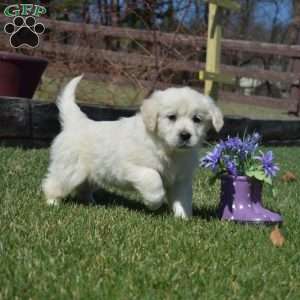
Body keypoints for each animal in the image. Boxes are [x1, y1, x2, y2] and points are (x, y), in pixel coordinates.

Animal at [42, 75, 223, 218]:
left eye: (197, 119)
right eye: (172, 117)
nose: (185, 135)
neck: (168, 150)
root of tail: (76, 122)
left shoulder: (181, 179)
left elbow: (183, 199)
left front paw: (183, 218)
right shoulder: (132, 167)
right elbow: (153, 178)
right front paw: (154, 202)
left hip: (93, 173)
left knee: (83, 188)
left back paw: (91, 202)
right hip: (70, 168)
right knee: (54, 183)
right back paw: (52, 202)